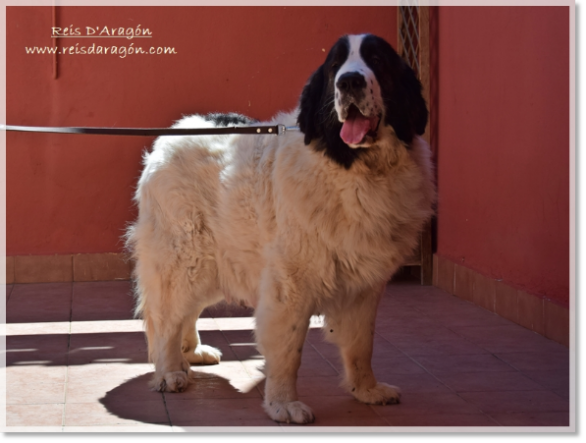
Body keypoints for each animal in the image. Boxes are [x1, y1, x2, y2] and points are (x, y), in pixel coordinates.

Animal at [125, 33, 436, 424]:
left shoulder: (364, 284)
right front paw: (283, 404)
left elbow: (362, 343)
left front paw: (366, 390)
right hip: (186, 257)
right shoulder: (291, 283)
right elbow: (289, 349)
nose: (349, 81)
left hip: (217, 261)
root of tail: (171, 135)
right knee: (167, 315)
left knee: (187, 310)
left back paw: (190, 351)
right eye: (335, 66)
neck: (355, 168)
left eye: (377, 60)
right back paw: (170, 370)